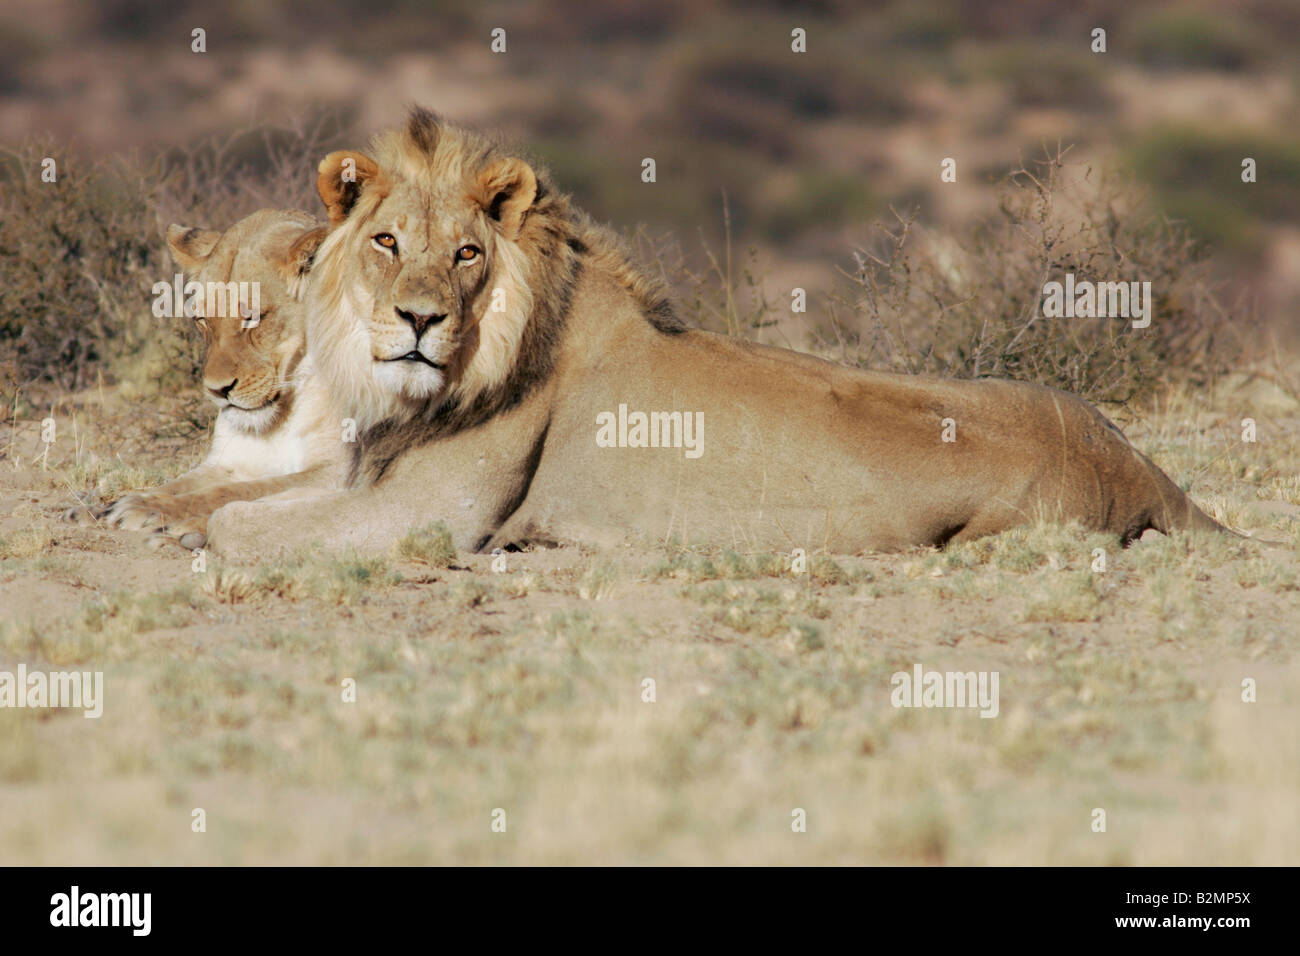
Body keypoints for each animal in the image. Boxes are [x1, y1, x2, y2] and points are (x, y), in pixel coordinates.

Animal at [68, 209, 347, 549]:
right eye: (201, 320)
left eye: (252, 318)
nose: (218, 390)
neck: (284, 413)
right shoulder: (227, 463)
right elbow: (179, 484)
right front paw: (108, 507)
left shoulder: (338, 472)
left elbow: (240, 491)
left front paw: (151, 512)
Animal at [206, 109, 1227, 561]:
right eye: (385, 242)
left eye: (465, 254)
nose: (419, 321)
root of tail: (1146, 474)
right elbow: (237, 500)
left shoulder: (433, 517)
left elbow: (239, 526)